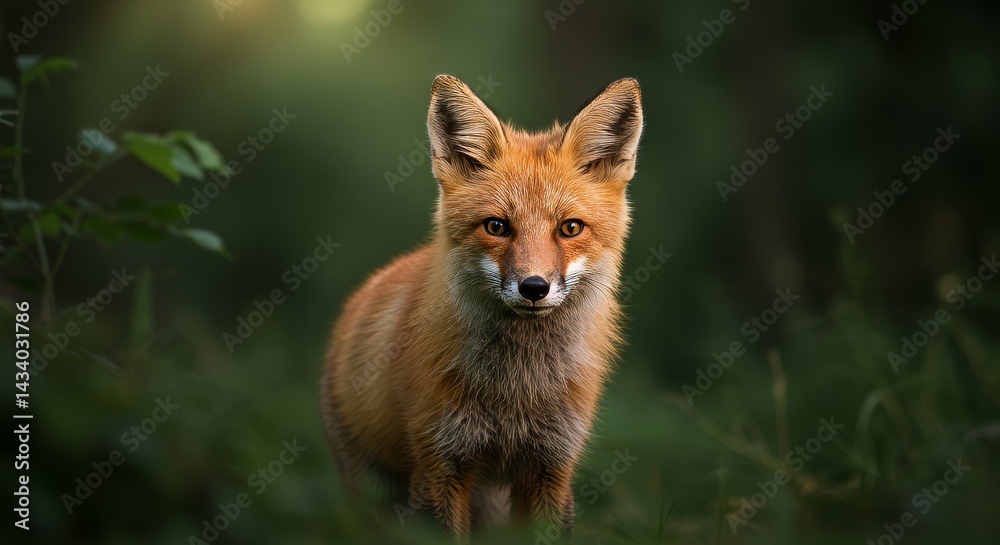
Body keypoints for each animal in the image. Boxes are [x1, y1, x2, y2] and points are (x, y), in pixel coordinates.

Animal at [321, 74, 643, 539]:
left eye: (570, 228)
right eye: (497, 226)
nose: (534, 288)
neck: (516, 393)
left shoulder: (552, 465)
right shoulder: (440, 464)